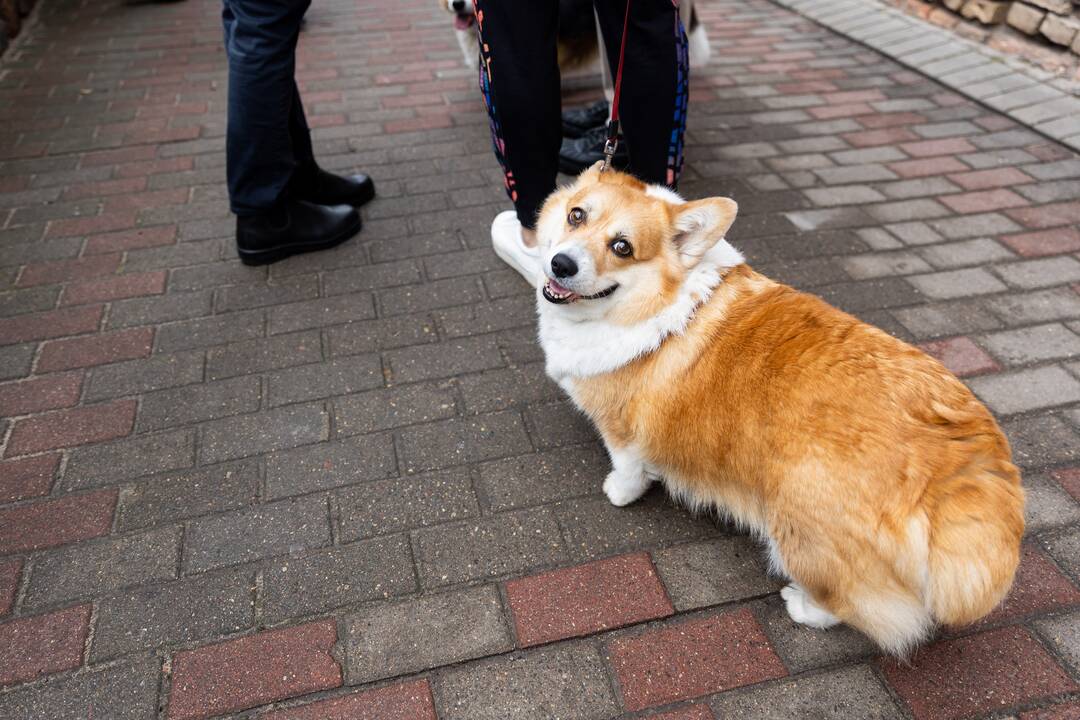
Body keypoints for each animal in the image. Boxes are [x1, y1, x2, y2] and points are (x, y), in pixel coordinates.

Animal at [535, 166, 1023, 656]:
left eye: (623, 247)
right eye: (576, 215)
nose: (561, 264)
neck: (655, 300)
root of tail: (957, 465)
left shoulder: (618, 427)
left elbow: (628, 467)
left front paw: (619, 492)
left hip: (798, 528)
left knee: (853, 604)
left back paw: (803, 607)